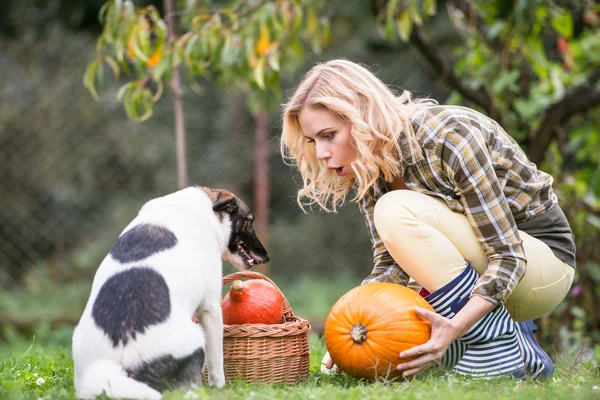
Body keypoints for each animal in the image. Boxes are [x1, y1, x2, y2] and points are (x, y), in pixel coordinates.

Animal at [71, 188, 270, 400]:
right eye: (250, 222)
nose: (267, 256)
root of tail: (117, 371)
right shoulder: (210, 309)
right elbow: (216, 362)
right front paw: (220, 388)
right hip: (195, 339)